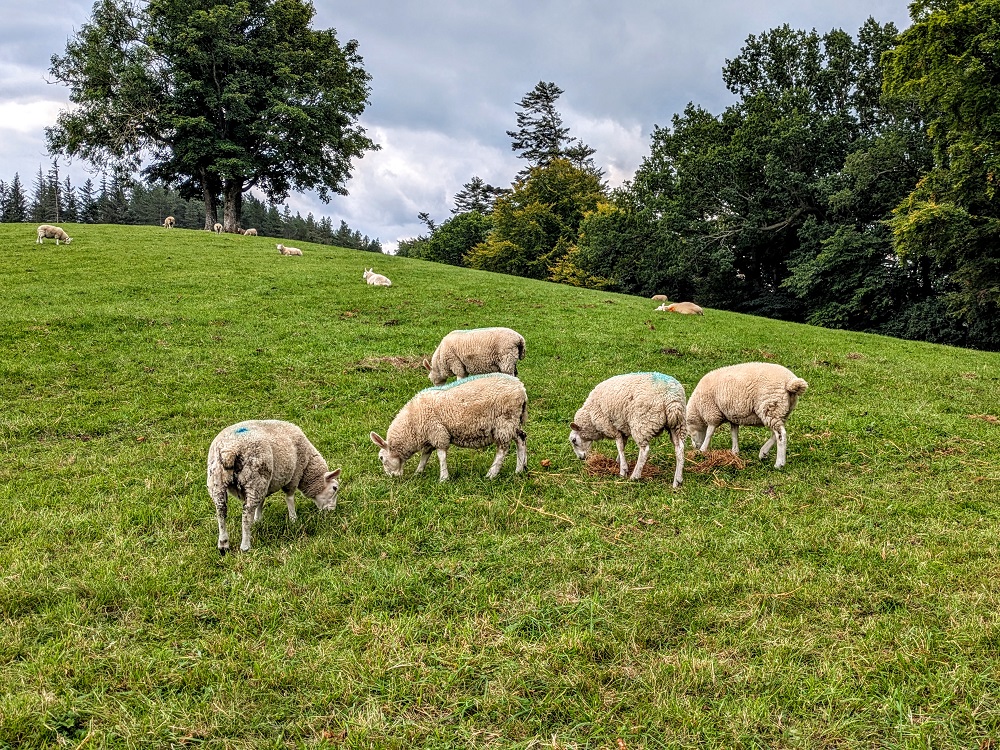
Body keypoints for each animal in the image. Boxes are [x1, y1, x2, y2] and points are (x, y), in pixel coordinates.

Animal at [207, 420, 341, 554]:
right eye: (334, 488)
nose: (332, 510)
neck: (307, 466)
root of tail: (229, 451)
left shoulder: (265, 485)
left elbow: (261, 502)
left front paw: (258, 520)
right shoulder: (294, 475)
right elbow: (289, 498)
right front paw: (293, 519)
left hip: (217, 480)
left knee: (221, 512)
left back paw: (223, 544)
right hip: (254, 479)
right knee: (246, 515)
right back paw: (245, 546)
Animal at [370, 373, 528, 482]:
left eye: (381, 458)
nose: (391, 477)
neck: (412, 424)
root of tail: (521, 388)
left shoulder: (437, 432)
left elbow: (441, 455)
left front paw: (443, 478)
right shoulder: (429, 436)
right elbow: (425, 455)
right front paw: (418, 472)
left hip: (504, 422)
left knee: (503, 449)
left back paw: (491, 474)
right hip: (512, 422)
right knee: (521, 438)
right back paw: (520, 469)